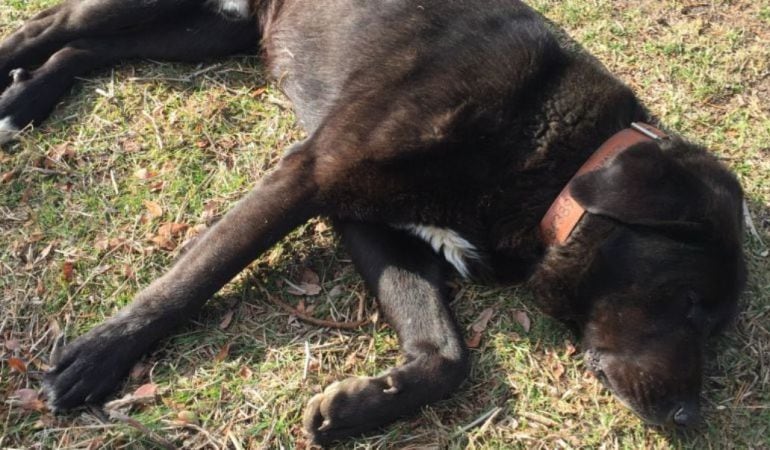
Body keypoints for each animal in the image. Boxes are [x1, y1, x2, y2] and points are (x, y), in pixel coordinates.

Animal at [0, 0, 744, 444]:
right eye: (688, 304)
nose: (691, 419)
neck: (554, 149)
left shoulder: (370, 216)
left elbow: (447, 354)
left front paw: (366, 403)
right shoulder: (312, 174)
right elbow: (200, 270)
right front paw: (101, 353)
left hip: (213, 29)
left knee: (86, 50)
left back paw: (31, 95)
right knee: (49, 27)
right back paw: (18, 80)